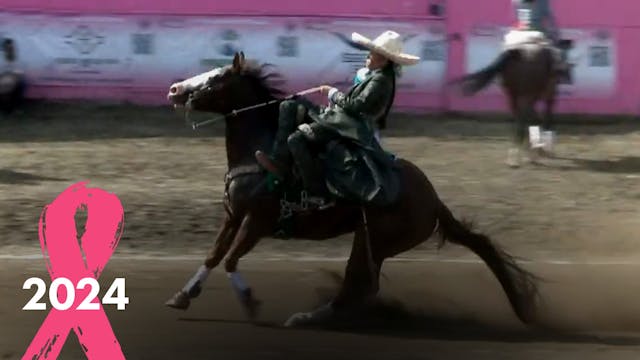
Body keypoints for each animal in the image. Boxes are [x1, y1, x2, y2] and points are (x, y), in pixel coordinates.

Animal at [164, 52, 536, 326]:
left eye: (215, 78)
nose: (174, 90)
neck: (262, 149)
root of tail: (434, 200)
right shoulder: (234, 214)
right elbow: (214, 256)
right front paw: (181, 296)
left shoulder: (257, 221)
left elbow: (229, 260)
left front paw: (250, 302)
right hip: (370, 242)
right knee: (362, 285)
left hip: (376, 241)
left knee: (356, 285)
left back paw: (307, 317)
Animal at [450, 38, 560, 168]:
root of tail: (517, 52)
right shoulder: (548, 96)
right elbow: (544, 119)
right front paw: (542, 148)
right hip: (527, 95)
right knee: (524, 120)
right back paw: (520, 157)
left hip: (512, 96)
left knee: (520, 118)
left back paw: (520, 154)